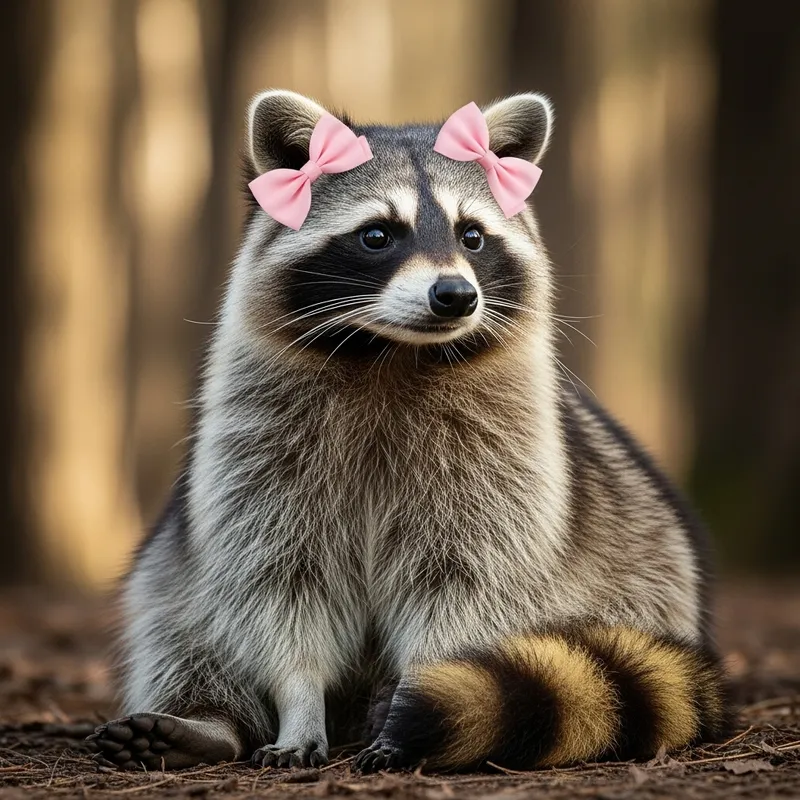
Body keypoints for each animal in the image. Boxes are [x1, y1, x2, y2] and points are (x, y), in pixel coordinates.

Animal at [88, 90, 730, 773]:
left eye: (472, 235)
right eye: (377, 235)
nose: (455, 294)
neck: (393, 352)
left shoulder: (500, 468)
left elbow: (464, 583)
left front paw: (423, 690)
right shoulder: (258, 453)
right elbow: (278, 584)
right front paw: (298, 700)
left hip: (647, 560)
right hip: (178, 563)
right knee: (172, 621)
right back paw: (211, 719)